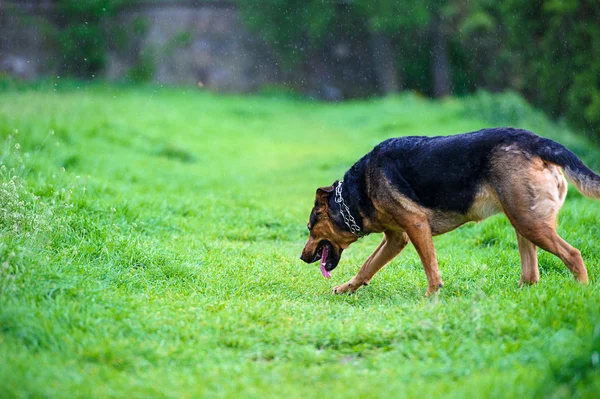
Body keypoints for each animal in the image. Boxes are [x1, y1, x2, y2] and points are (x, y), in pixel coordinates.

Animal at [300, 128, 600, 296]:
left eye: (309, 228)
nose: (302, 257)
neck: (356, 191)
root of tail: (536, 140)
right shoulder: (396, 239)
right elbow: (367, 266)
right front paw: (347, 288)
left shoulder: (416, 226)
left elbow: (430, 268)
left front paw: (431, 297)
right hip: (522, 221)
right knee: (531, 275)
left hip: (530, 223)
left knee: (573, 255)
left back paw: (582, 294)